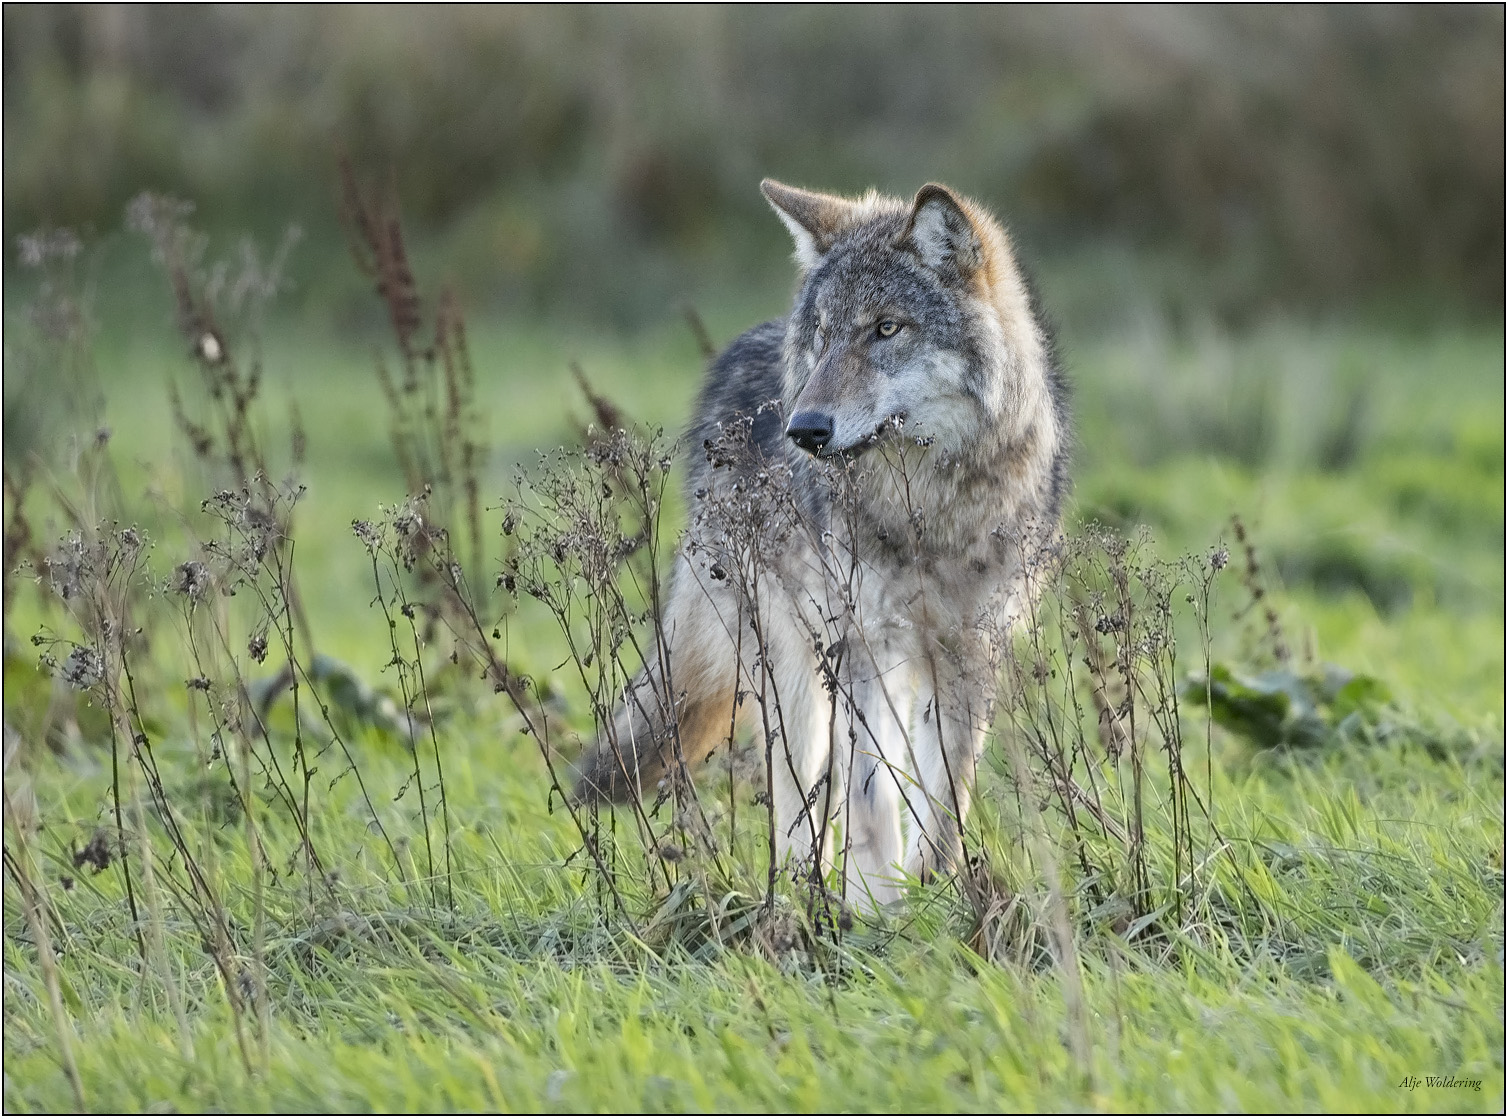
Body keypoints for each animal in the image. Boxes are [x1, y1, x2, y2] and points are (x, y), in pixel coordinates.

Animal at [574, 179, 1070, 907]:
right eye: (824, 335)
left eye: (885, 328)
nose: (804, 429)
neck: (925, 510)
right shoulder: (864, 645)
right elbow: (871, 798)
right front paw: (879, 906)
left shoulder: (970, 652)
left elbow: (945, 796)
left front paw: (929, 891)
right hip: (793, 675)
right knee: (801, 798)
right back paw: (798, 896)